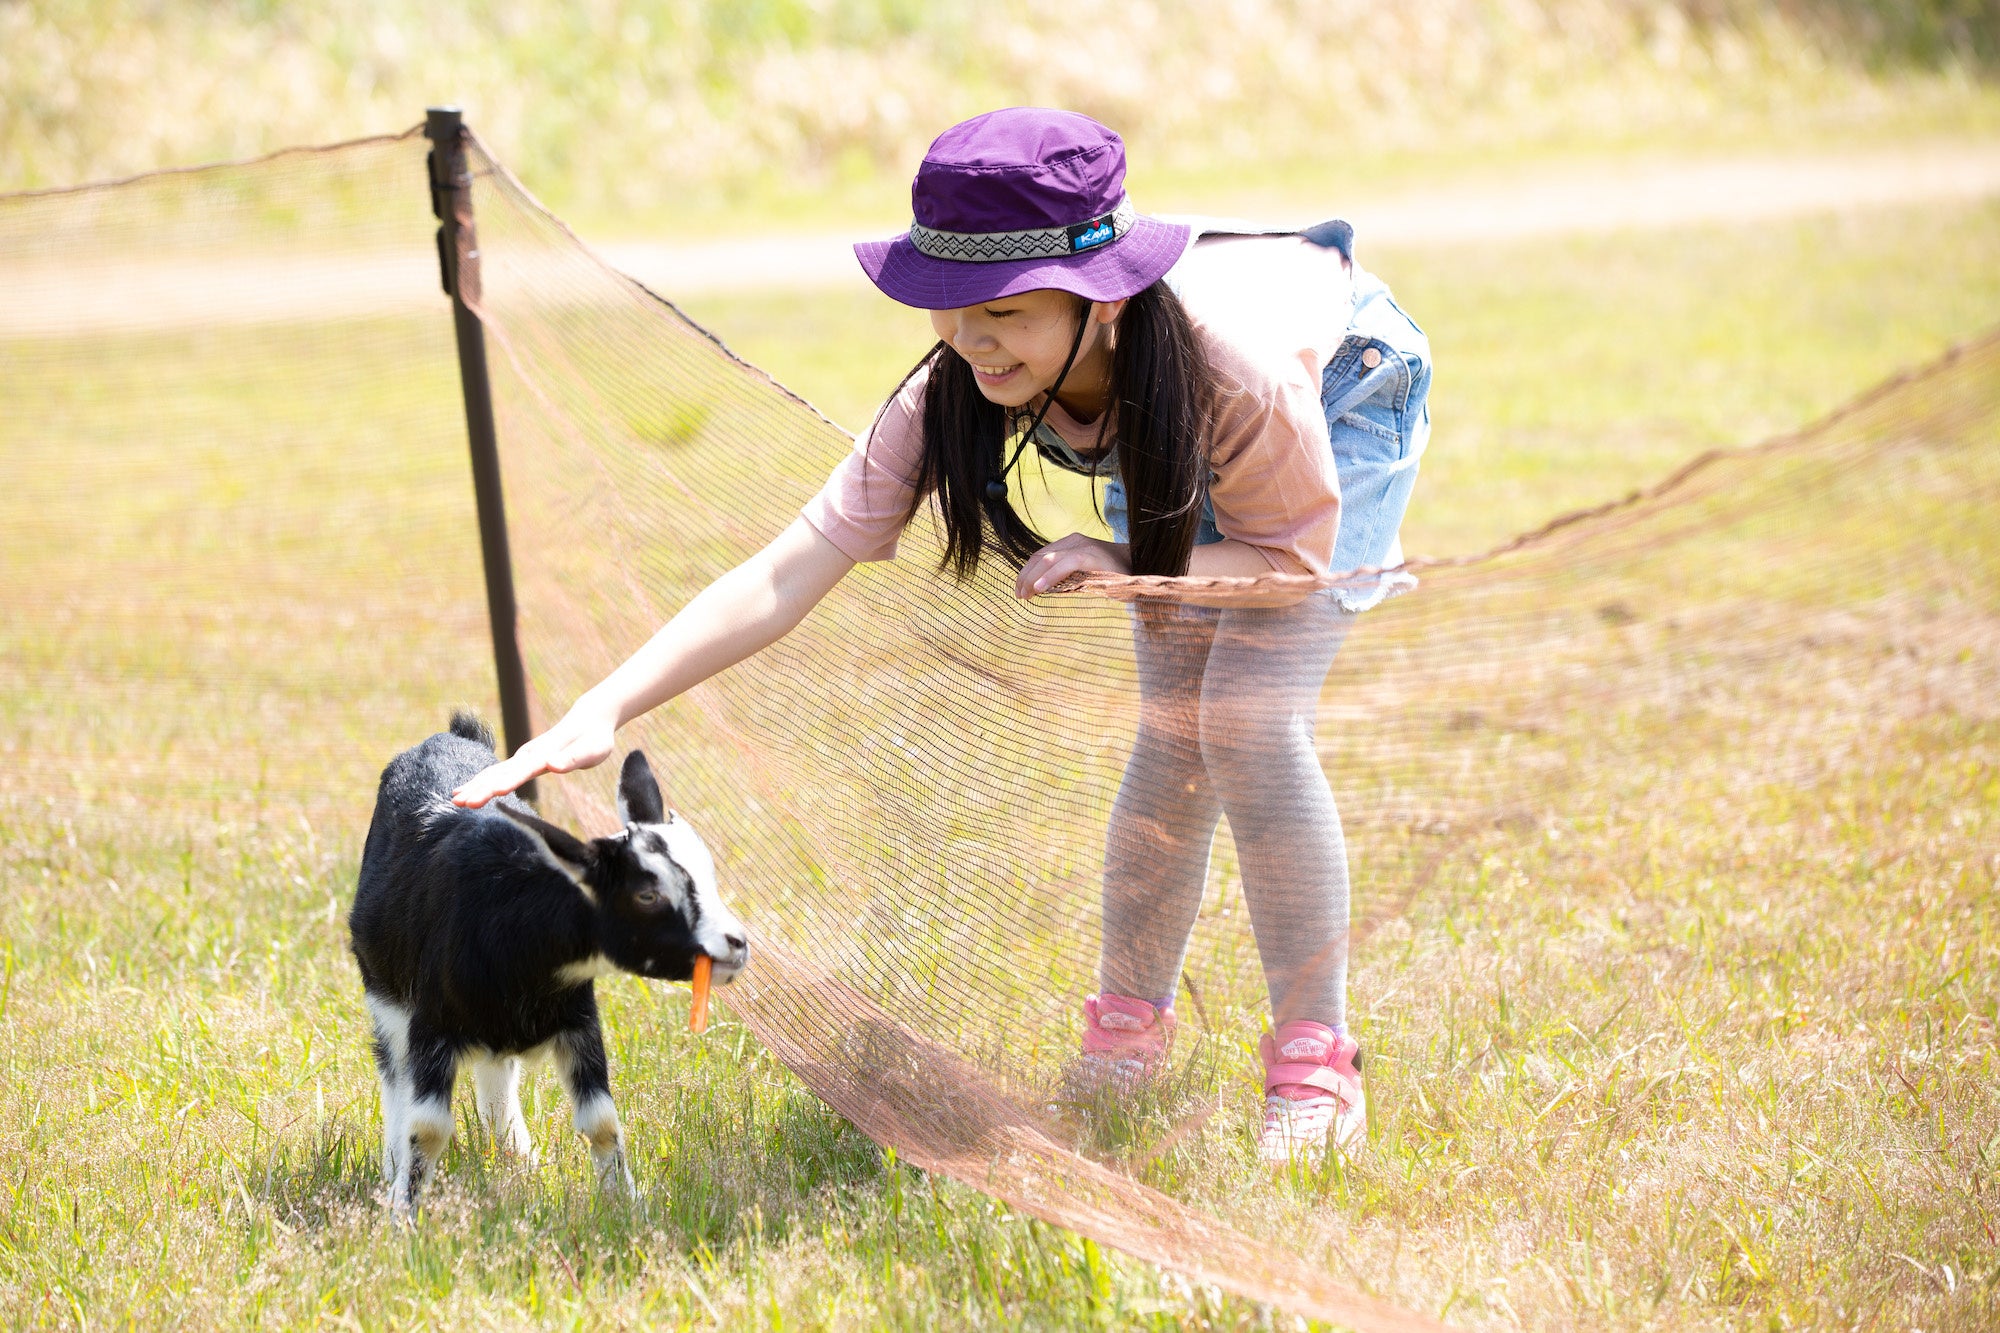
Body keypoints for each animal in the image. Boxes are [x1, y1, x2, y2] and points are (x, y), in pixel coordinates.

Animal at [349, 712, 748, 1213]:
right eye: (647, 894)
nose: (737, 944)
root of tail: (448, 736)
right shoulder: (431, 1023)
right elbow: (429, 1128)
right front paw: (404, 1212)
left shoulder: (579, 1019)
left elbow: (602, 1121)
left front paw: (626, 1204)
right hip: (386, 995)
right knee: (393, 1068)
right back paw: (391, 1165)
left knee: (497, 1075)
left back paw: (518, 1155)